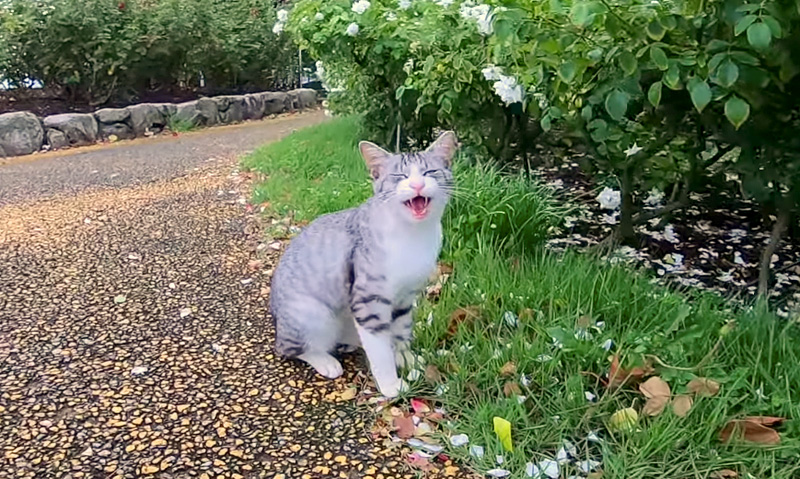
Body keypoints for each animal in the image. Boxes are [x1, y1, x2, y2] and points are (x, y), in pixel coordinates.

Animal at [268, 130, 456, 398]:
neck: (413, 236)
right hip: (313, 315)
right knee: (289, 348)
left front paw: (407, 358)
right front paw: (390, 385)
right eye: (399, 176)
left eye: (429, 172)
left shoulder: (404, 298)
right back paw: (325, 360)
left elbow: (401, 332)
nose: (417, 185)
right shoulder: (369, 300)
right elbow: (380, 352)